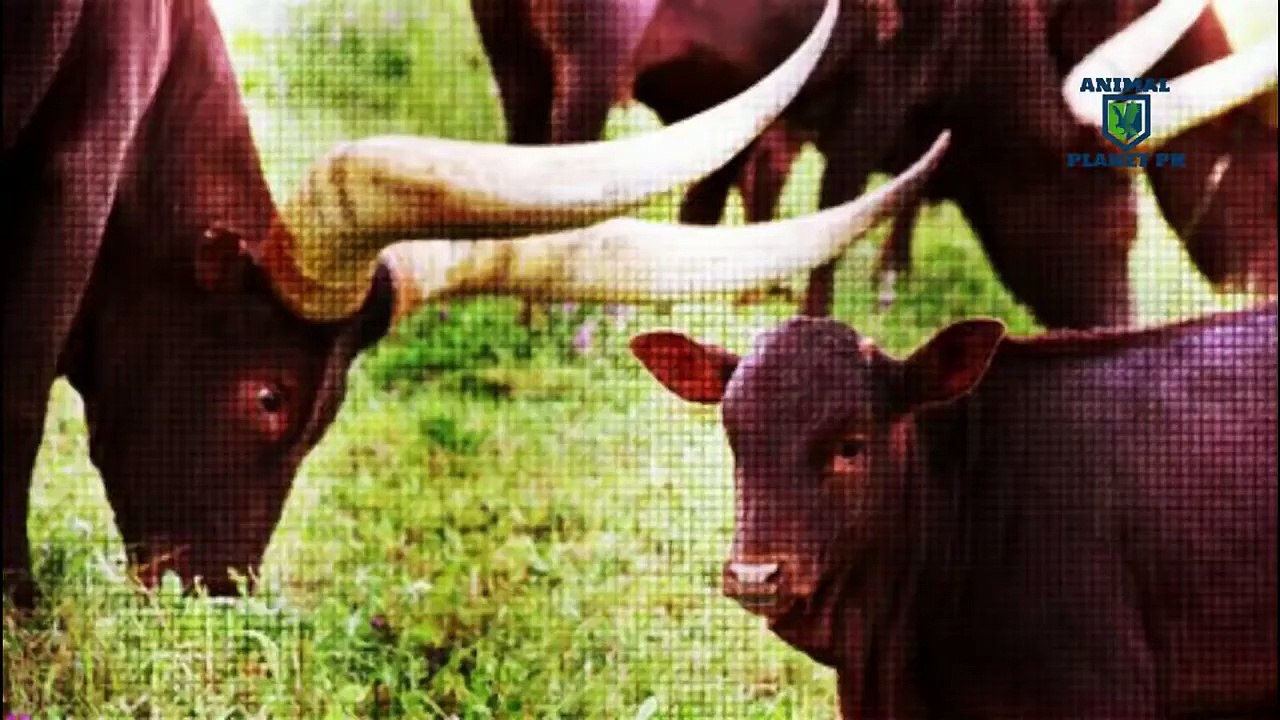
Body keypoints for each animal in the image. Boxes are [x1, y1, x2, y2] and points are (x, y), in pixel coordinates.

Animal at [475, 0, 1277, 324]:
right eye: (1121, 231)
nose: (1122, 326)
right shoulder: (884, 85)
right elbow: (850, 193)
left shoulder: (747, 89)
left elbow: (717, 187)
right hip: (590, 63)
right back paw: (559, 315)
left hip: (513, 52)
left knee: (521, 158)